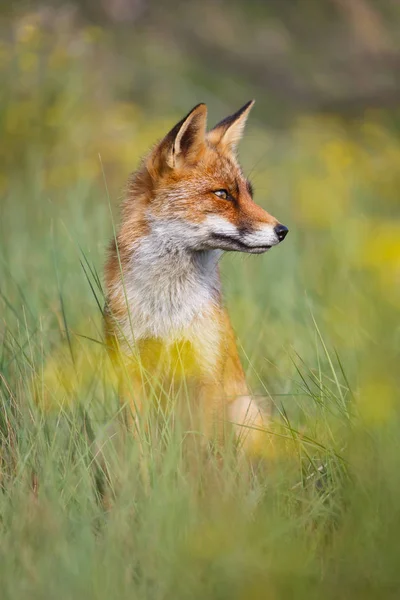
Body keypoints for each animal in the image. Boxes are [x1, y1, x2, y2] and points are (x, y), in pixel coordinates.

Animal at [104, 101, 290, 454]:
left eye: (249, 193)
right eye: (223, 194)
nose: (282, 231)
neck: (167, 307)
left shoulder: (205, 372)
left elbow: (202, 450)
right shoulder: (129, 368)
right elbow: (140, 442)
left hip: (243, 409)